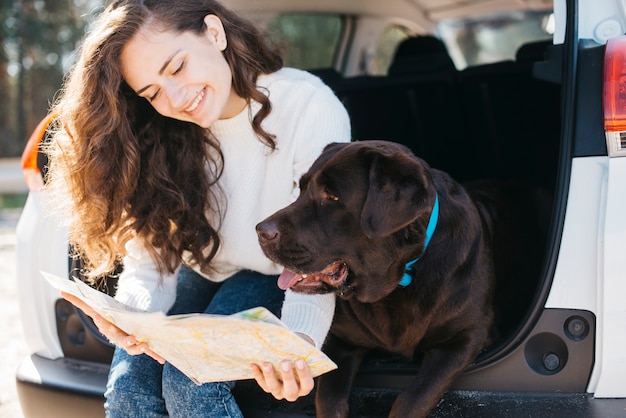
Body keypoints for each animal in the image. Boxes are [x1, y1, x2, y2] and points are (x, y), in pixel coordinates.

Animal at [256, 141, 544, 418]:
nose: (260, 231)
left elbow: (413, 398)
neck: (400, 280)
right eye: (302, 188)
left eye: (332, 196)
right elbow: (328, 400)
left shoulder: (466, 337)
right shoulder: (340, 340)